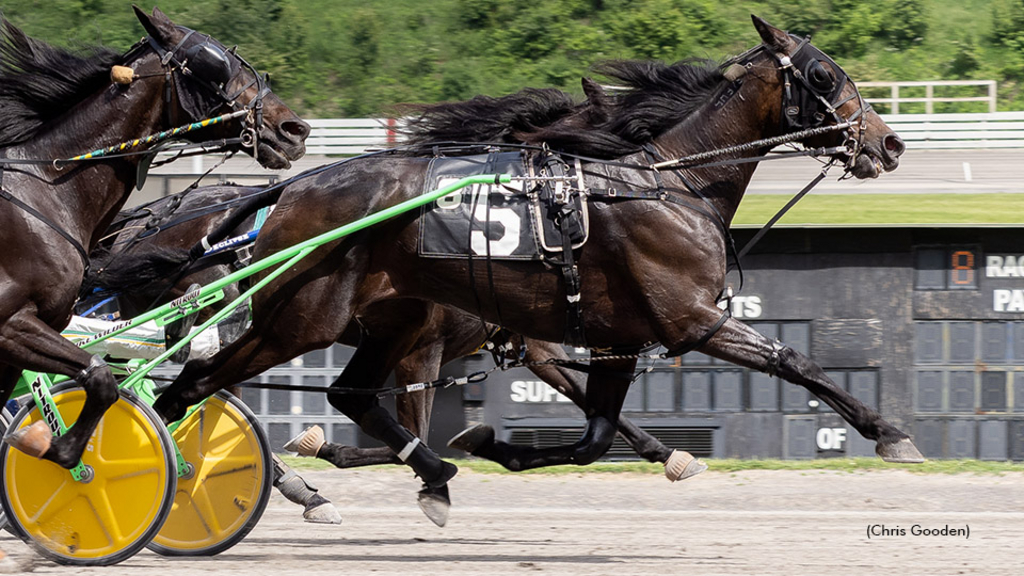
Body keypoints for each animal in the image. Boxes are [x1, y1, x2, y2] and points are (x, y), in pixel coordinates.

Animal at [1, 6, 307, 469]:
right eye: (214, 63)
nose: (294, 128)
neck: (47, 187)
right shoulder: (13, 325)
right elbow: (102, 377)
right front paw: (57, 448)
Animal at [151, 16, 921, 494]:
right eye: (823, 76)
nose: (888, 143)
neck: (667, 184)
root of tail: (292, 188)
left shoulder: (613, 339)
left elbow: (595, 434)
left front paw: (495, 446)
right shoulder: (688, 321)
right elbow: (795, 360)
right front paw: (888, 431)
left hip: (388, 318)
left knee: (341, 392)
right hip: (303, 318)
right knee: (193, 384)